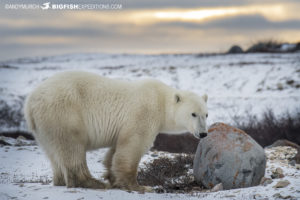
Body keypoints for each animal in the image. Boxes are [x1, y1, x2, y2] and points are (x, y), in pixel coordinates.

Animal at [24, 71, 209, 192]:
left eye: (206, 114)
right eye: (193, 114)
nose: (203, 134)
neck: (161, 101)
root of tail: (30, 102)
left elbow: (115, 149)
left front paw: (112, 177)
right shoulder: (143, 114)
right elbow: (133, 145)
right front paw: (139, 186)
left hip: (44, 126)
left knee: (53, 151)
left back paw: (61, 180)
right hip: (64, 112)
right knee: (72, 145)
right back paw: (93, 183)